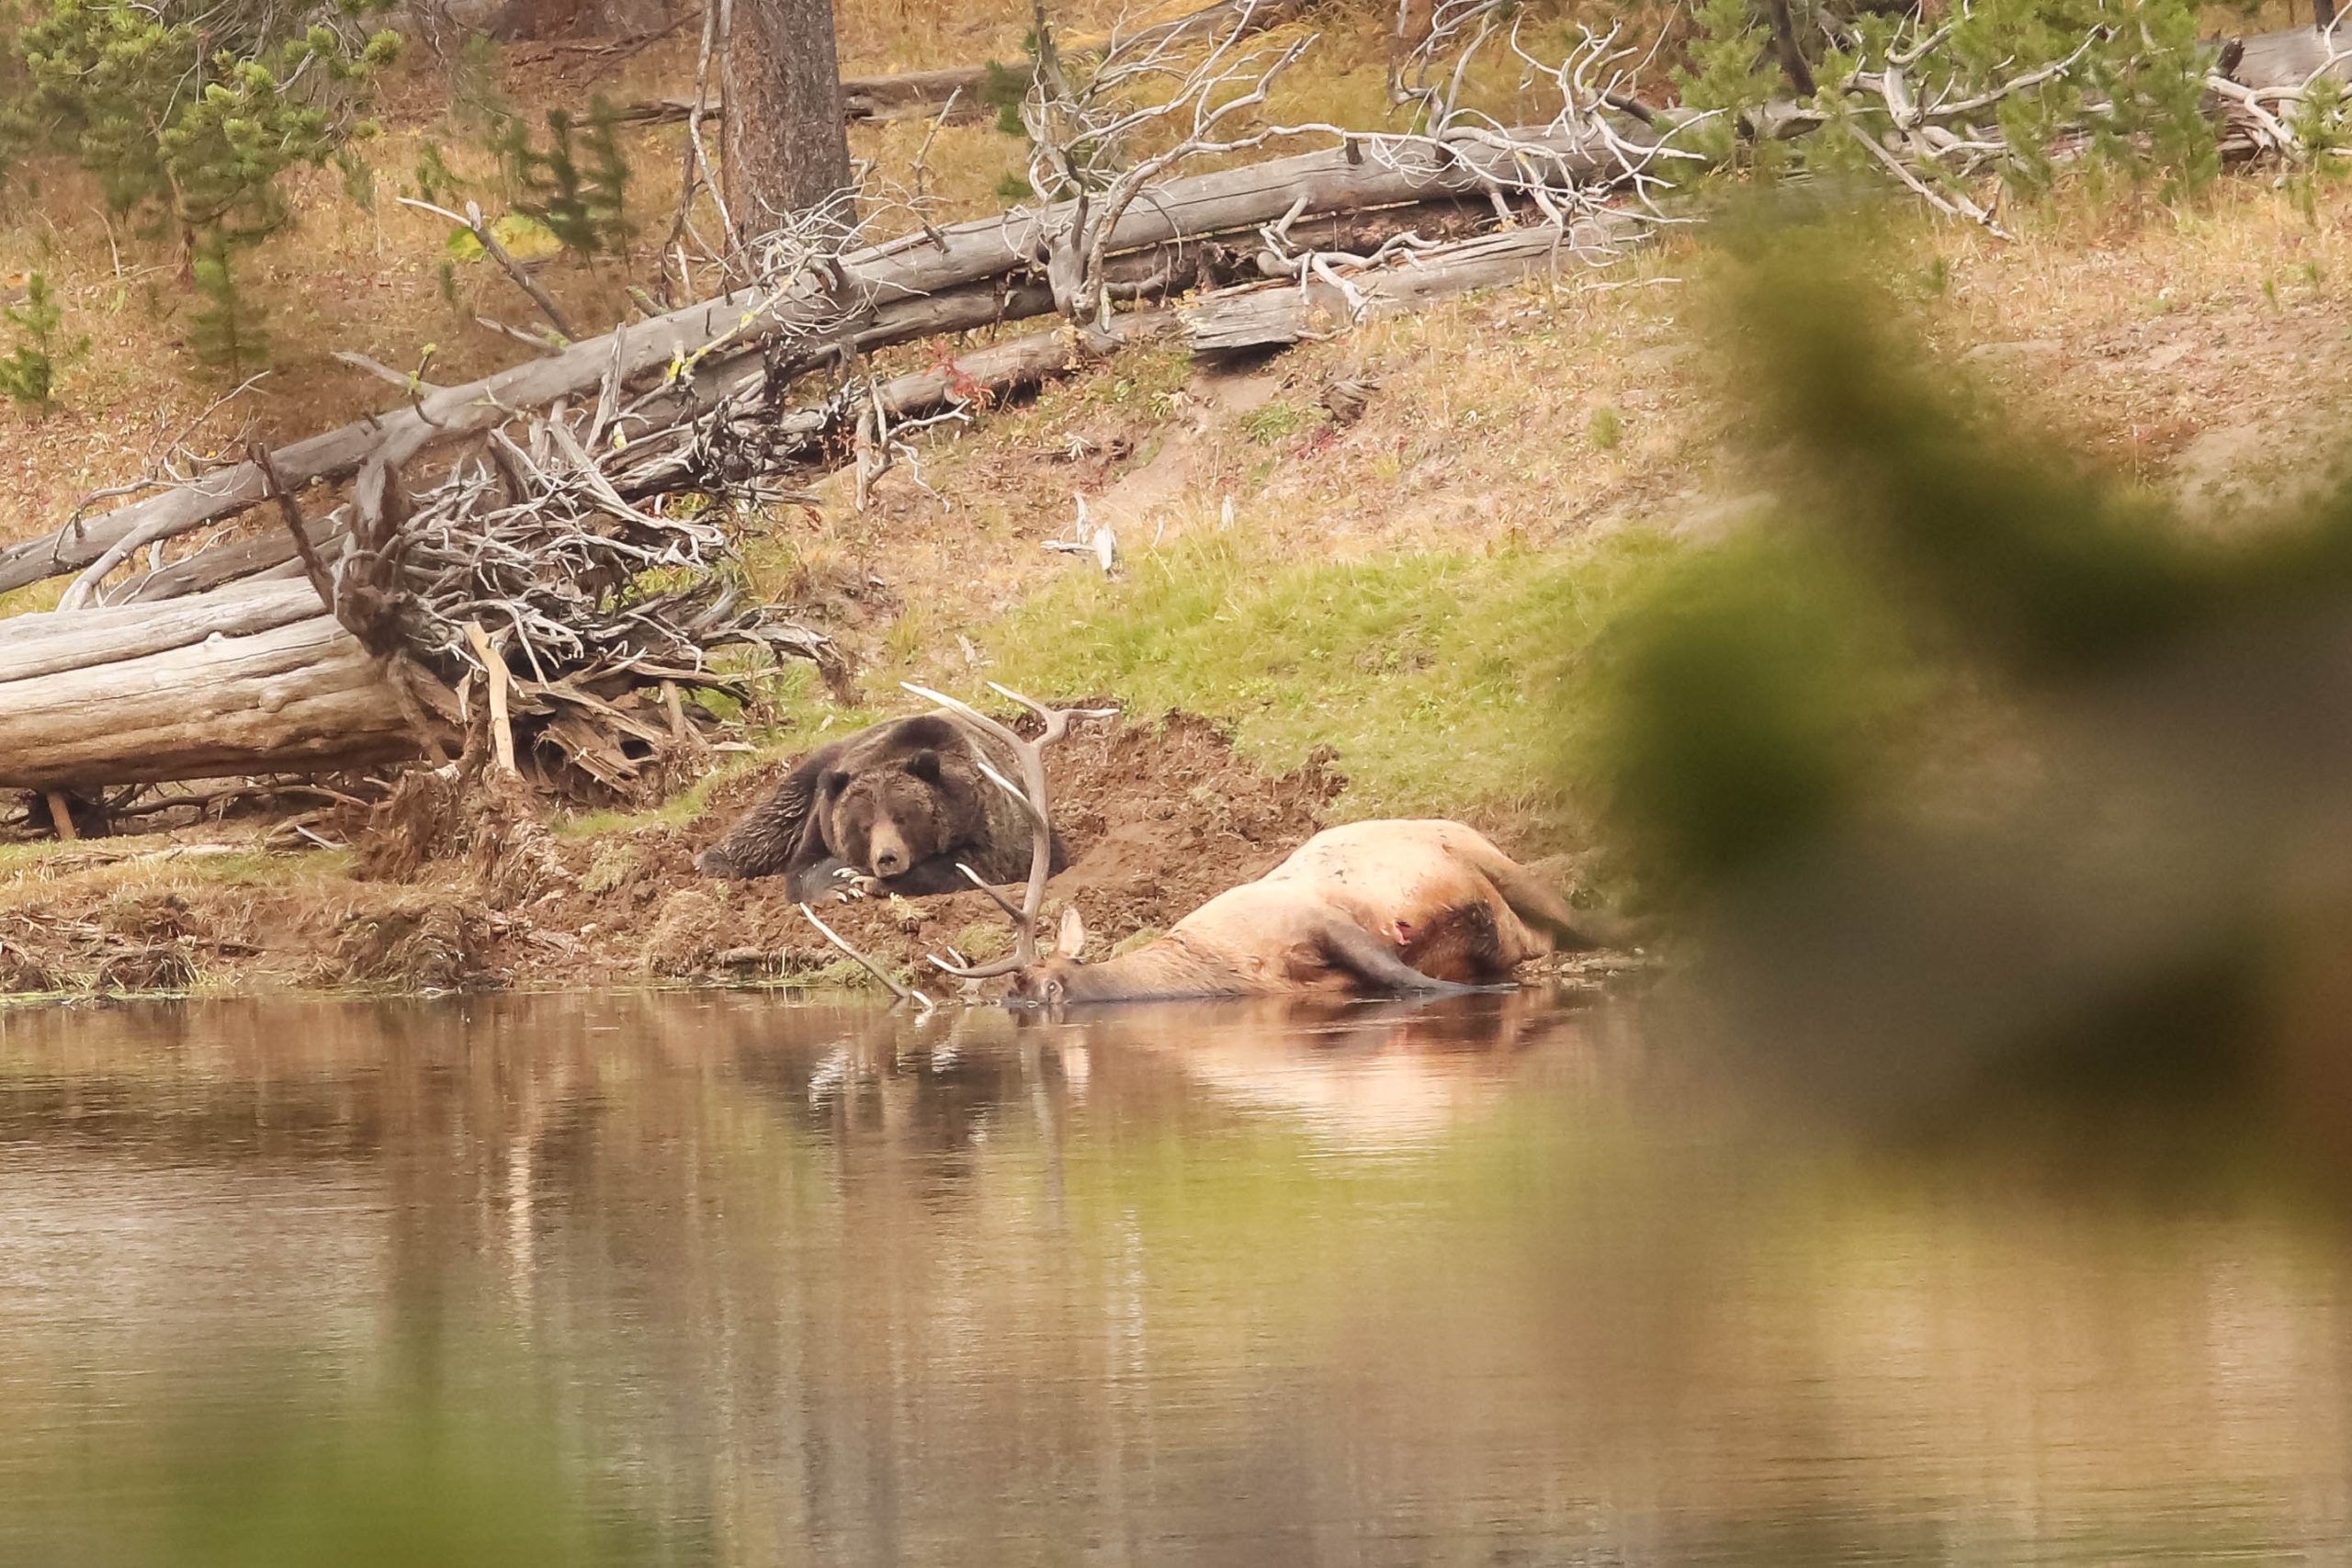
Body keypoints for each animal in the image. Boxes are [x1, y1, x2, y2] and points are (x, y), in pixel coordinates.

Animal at [694, 713, 1068, 902]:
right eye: (863, 825)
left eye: (903, 817)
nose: (886, 858)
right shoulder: (823, 819)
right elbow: (804, 866)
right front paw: (842, 883)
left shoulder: (988, 822)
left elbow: (969, 867)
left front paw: (866, 881)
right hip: (818, 768)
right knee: (777, 814)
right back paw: (715, 862)